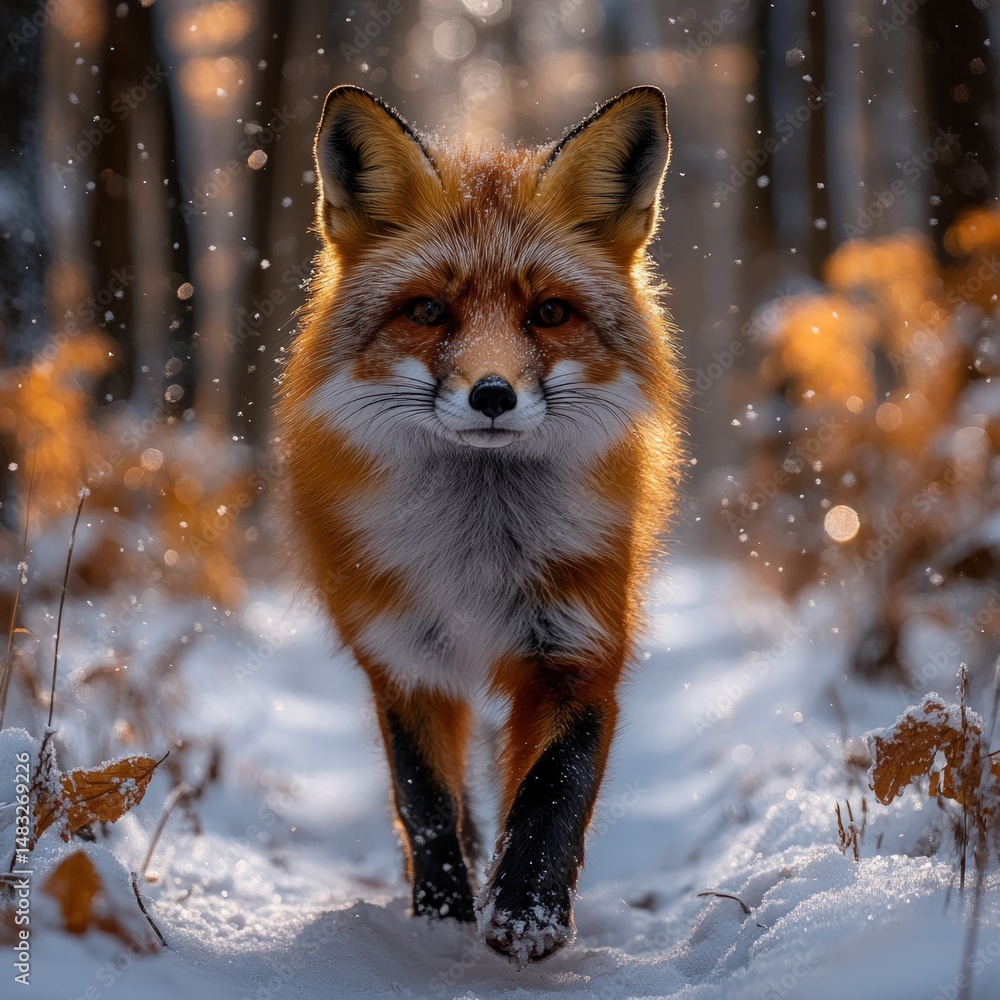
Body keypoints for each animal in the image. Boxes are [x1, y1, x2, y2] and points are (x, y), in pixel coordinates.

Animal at [277, 84, 684, 966]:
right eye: (429, 311)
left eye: (550, 312)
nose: (492, 394)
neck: (479, 551)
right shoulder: (403, 660)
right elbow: (426, 803)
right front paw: (442, 916)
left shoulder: (580, 648)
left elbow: (553, 788)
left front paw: (528, 912)